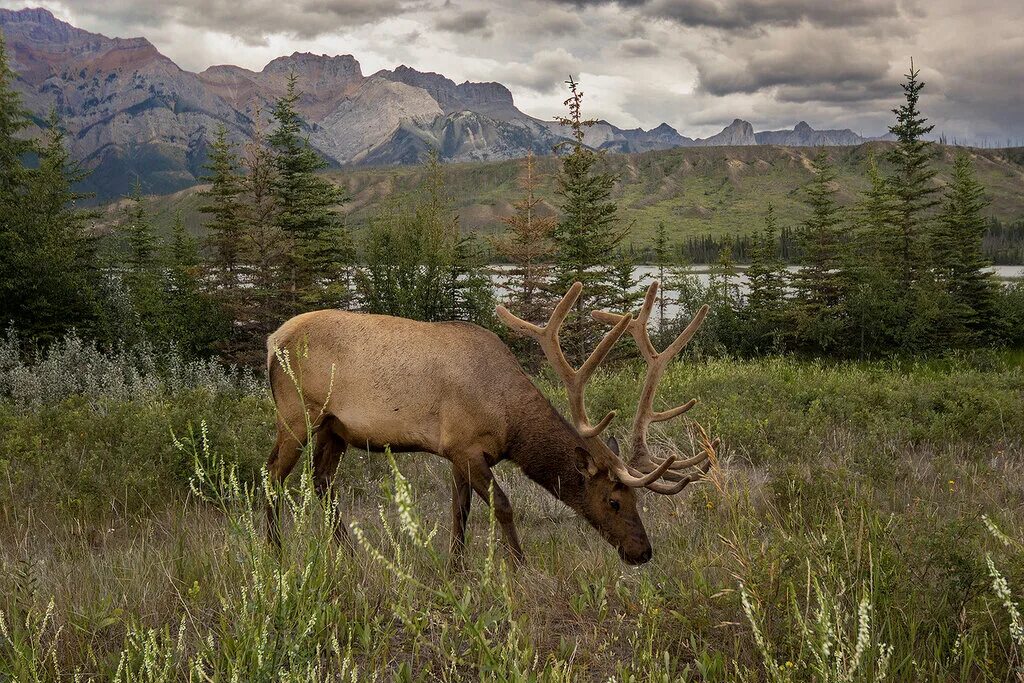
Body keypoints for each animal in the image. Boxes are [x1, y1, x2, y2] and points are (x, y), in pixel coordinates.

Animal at [264, 280, 716, 565]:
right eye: (613, 501)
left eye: (637, 500)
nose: (643, 553)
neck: (509, 421)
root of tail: (272, 340)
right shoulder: (467, 447)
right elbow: (503, 506)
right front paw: (519, 566)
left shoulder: (457, 454)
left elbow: (458, 512)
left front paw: (456, 569)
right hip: (297, 413)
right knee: (272, 474)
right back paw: (275, 552)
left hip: (334, 427)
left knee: (322, 481)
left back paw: (348, 554)